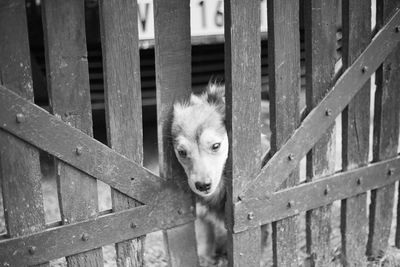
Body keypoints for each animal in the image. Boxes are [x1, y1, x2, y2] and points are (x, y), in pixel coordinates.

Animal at [171, 84, 228, 266]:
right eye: (182, 152)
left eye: (216, 146)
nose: (202, 186)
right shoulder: (201, 217)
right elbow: (204, 245)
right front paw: (207, 259)